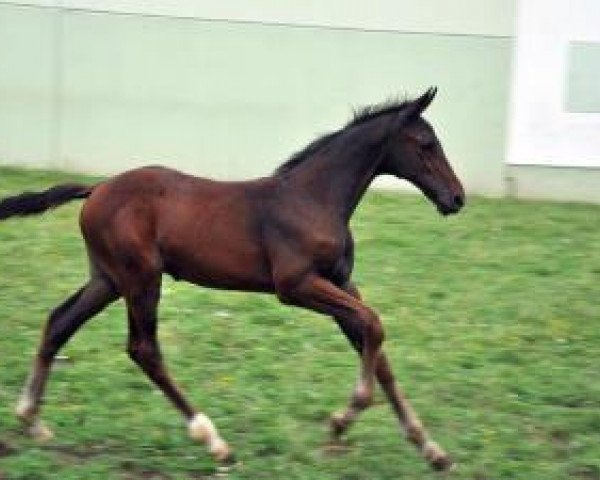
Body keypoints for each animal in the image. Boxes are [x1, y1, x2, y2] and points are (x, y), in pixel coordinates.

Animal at [0, 88, 464, 470]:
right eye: (426, 144)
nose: (456, 198)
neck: (313, 198)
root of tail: (95, 189)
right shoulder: (296, 285)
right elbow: (374, 325)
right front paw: (342, 419)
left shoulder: (341, 284)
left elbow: (376, 347)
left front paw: (431, 449)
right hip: (141, 278)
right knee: (144, 349)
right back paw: (214, 441)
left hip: (108, 280)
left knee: (59, 322)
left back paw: (31, 419)